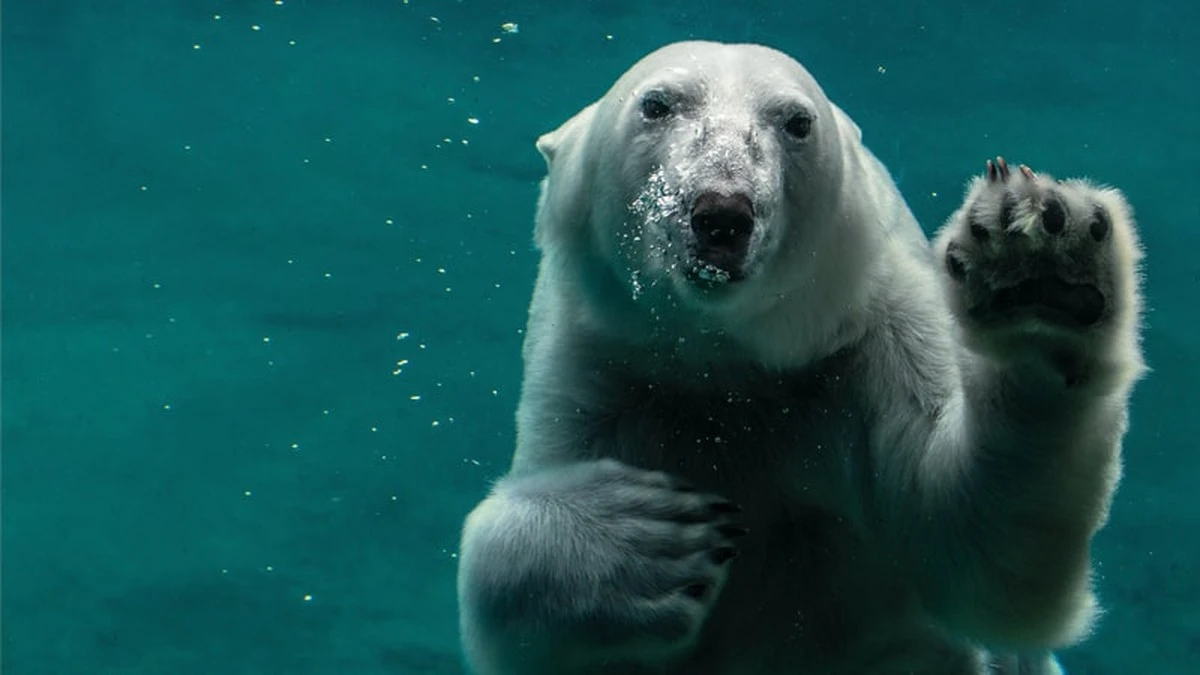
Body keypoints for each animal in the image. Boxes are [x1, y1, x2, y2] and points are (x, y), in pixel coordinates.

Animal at [456, 41, 1144, 675]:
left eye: (796, 121)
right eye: (656, 105)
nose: (722, 212)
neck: (728, 360)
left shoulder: (871, 339)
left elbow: (975, 548)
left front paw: (1039, 269)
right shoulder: (603, 366)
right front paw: (646, 539)